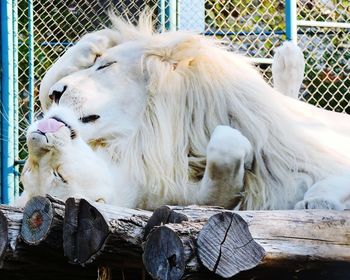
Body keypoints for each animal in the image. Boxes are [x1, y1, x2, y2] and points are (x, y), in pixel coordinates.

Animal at [19, 13, 350, 210]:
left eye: (106, 66)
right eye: (57, 176)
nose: (58, 94)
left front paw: (95, 42)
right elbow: (225, 150)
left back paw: (288, 57)